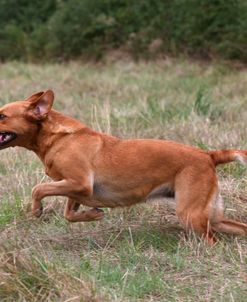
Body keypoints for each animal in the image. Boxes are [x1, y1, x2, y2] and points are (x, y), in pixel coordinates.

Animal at [0, 88, 247, 244]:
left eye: (2, 115)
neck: (57, 138)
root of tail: (208, 155)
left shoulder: (80, 183)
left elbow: (38, 189)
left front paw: (37, 210)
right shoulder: (75, 188)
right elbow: (69, 213)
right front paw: (93, 215)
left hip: (191, 214)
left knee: (212, 241)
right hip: (212, 216)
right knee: (239, 228)